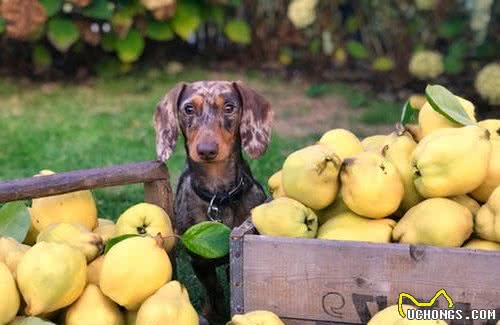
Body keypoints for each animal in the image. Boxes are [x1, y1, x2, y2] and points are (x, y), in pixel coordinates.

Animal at [154, 80, 274, 322]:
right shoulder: (200, 262)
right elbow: (214, 290)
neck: (218, 196)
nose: (206, 150)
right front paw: (212, 314)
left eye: (229, 107)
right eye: (188, 108)